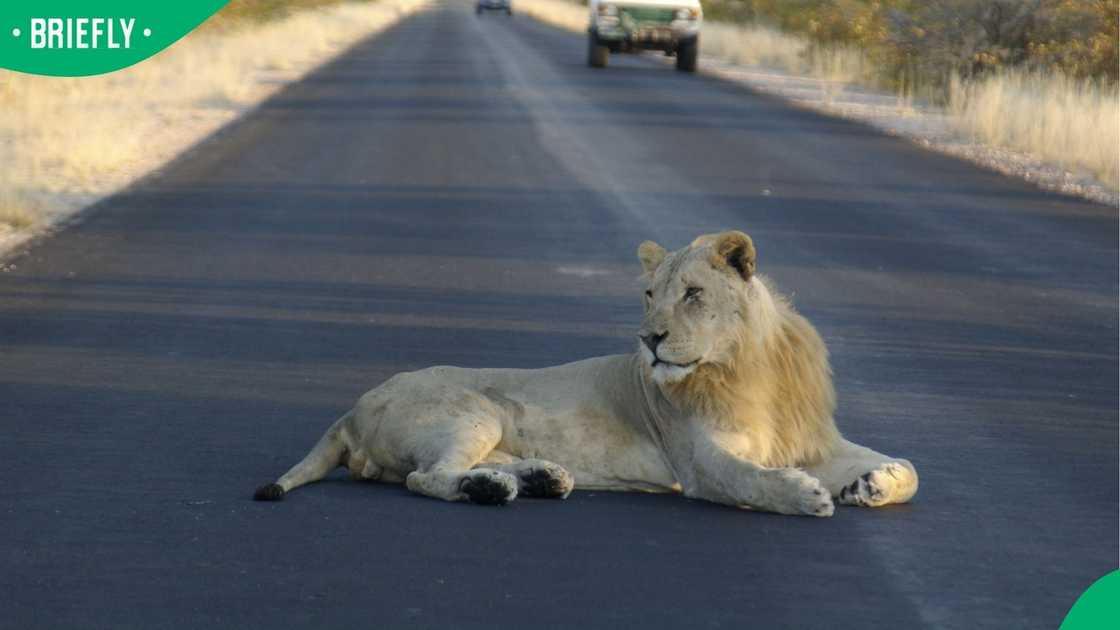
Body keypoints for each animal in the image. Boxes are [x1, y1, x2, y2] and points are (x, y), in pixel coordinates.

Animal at [253, 231, 918, 516]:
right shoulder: (700, 461)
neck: (744, 365)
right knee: (426, 477)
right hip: (474, 409)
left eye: (692, 294)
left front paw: (873, 483)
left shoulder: (811, 439)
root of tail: (352, 408)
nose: (649, 340)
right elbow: (750, 479)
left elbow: (911, 469)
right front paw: (805, 495)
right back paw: (492, 491)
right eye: (649, 294)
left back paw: (540, 478)